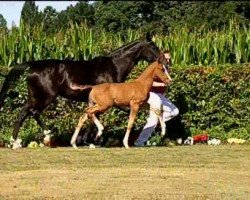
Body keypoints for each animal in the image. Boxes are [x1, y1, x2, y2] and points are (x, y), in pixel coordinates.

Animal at [0, 33, 169, 148]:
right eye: (153, 47)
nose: (166, 60)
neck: (114, 66)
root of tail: (31, 66)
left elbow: (91, 116)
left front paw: (86, 140)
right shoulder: (109, 101)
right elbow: (93, 117)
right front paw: (90, 141)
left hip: (36, 96)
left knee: (26, 112)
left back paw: (21, 141)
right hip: (45, 96)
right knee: (30, 112)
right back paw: (38, 138)